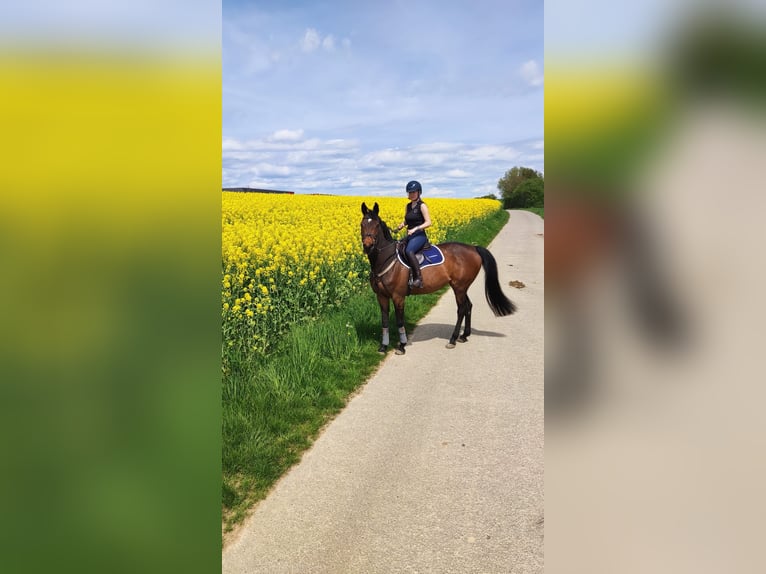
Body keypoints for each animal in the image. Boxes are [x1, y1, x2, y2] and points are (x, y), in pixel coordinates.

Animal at [360, 202, 516, 356]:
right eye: (362, 224)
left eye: (376, 225)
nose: (368, 245)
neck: (386, 260)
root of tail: (473, 248)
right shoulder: (381, 296)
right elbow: (384, 321)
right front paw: (383, 347)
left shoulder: (398, 296)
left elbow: (399, 321)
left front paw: (402, 346)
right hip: (461, 286)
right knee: (469, 306)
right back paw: (464, 336)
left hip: (459, 287)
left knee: (461, 309)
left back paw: (452, 339)